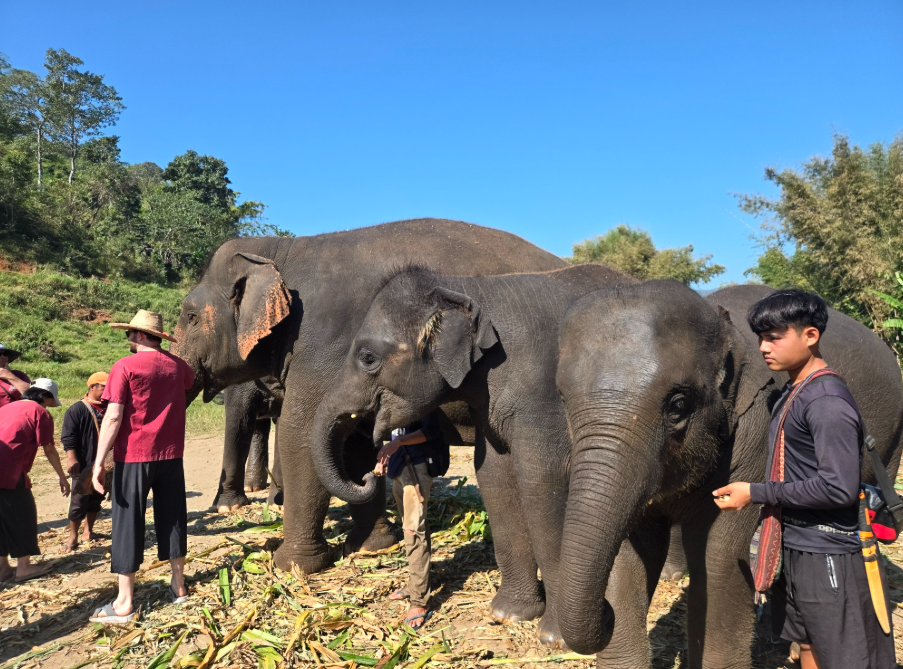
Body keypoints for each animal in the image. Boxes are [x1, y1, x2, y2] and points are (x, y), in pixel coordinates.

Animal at [171, 218, 566, 574]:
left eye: (190, 316)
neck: (280, 251)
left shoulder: (323, 346)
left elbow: (300, 435)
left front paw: (290, 567)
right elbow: (351, 440)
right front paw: (372, 546)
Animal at [309, 263, 634, 646]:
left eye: (367, 357)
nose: (367, 474)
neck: (461, 286)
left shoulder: (543, 393)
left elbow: (544, 482)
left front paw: (555, 639)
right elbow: (493, 476)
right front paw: (508, 615)